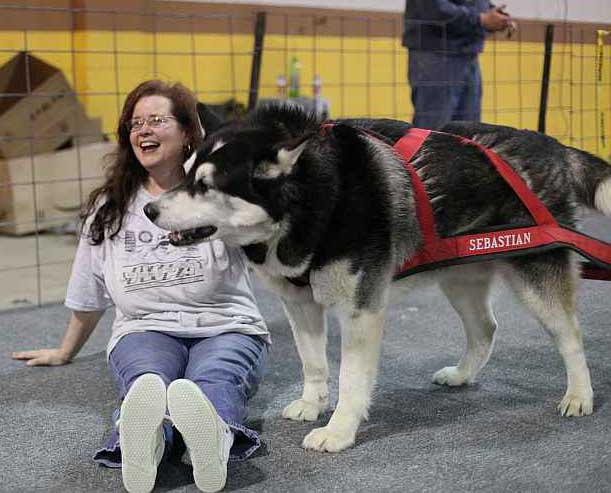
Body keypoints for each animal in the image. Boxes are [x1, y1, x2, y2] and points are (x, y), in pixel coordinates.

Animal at [145, 103, 611, 450]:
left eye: (207, 186)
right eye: (185, 173)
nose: (150, 209)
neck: (318, 197)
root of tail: (553, 145)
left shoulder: (360, 310)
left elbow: (352, 379)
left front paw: (338, 430)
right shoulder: (299, 303)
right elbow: (313, 363)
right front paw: (312, 404)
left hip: (536, 277)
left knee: (569, 336)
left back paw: (579, 395)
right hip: (459, 277)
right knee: (486, 327)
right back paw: (463, 374)